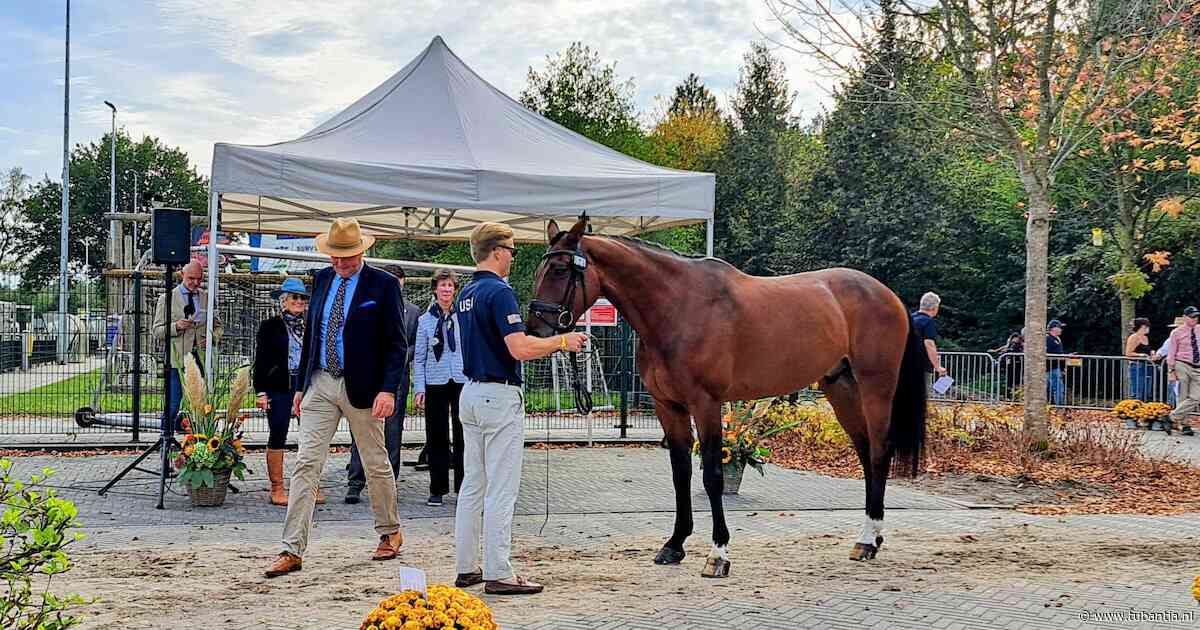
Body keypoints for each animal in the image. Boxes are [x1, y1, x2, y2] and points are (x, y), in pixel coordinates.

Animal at [526, 217, 928, 578]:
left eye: (560, 269)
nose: (535, 331)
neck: (680, 308)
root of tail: (888, 295)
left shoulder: (706, 404)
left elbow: (713, 475)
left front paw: (718, 554)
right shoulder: (668, 407)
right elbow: (681, 473)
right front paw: (674, 545)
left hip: (876, 387)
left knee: (879, 452)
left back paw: (868, 539)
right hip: (840, 388)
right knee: (865, 454)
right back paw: (870, 538)